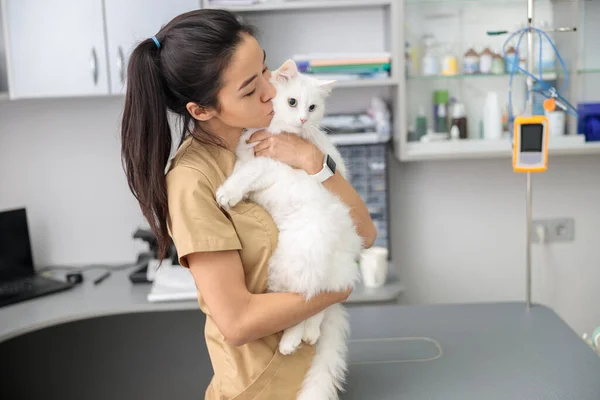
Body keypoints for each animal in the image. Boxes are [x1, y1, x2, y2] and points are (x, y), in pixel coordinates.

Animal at [218, 60, 364, 400]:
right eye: (293, 102)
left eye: (312, 107)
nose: (302, 119)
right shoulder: (249, 155)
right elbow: (240, 168)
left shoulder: (268, 166)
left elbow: (244, 175)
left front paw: (227, 195)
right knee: (317, 304)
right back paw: (307, 336)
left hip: (292, 263)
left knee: (307, 302)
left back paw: (291, 342)